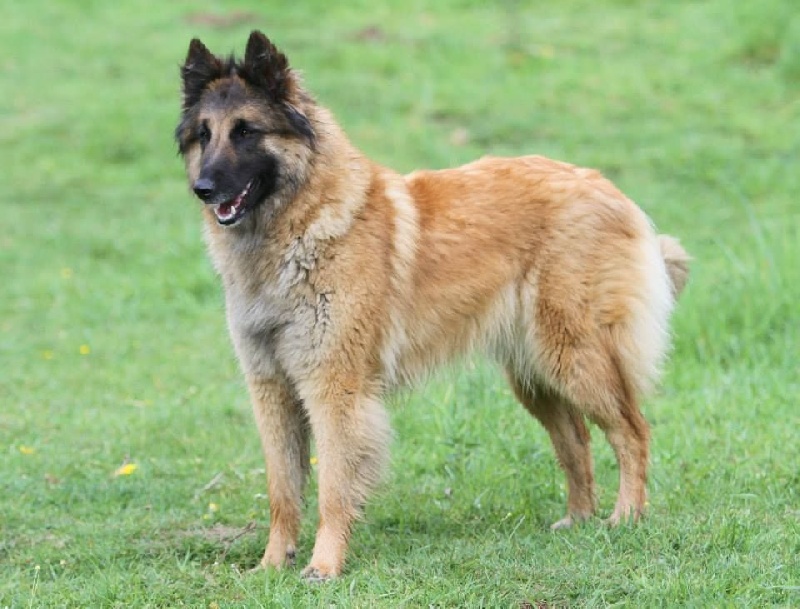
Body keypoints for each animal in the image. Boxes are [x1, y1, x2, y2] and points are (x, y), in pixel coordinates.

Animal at [175, 30, 690, 581]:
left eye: (246, 132)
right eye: (204, 135)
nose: (202, 189)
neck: (299, 226)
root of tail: (608, 189)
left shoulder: (334, 389)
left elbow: (333, 487)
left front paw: (324, 565)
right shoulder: (272, 388)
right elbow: (282, 489)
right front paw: (273, 565)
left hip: (574, 356)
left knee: (632, 431)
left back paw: (626, 516)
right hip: (535, 373)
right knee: (576, 440)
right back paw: (579, 519)